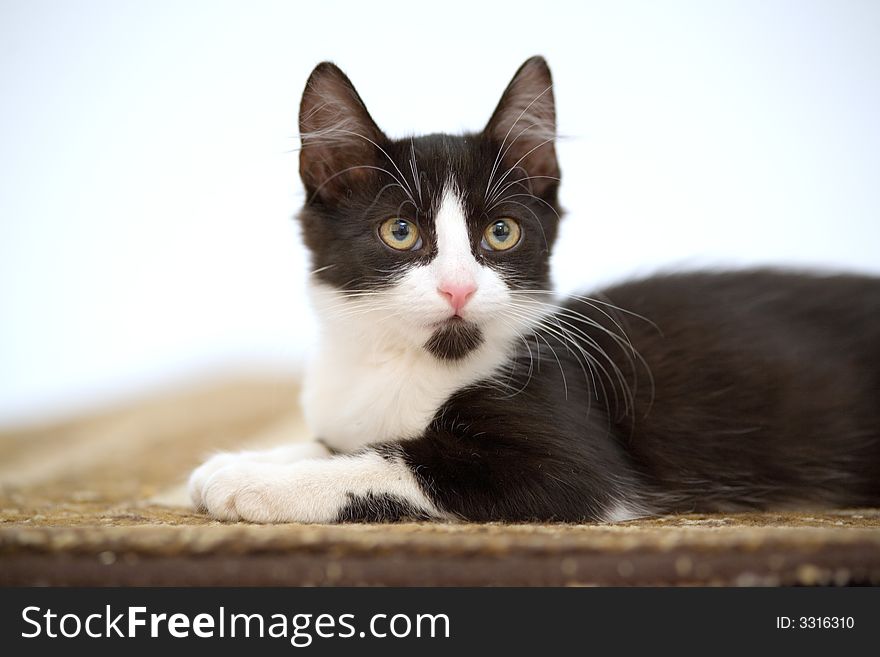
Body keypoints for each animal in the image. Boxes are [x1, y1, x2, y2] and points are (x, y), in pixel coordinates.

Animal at [189, 56, 876, 524]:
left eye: (501, 232)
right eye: (400, 231)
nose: (459, 288)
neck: (409, 364)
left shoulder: (573, 457)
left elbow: (400, 458)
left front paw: (254, 482)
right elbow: (339, 440)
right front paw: (243, 460)